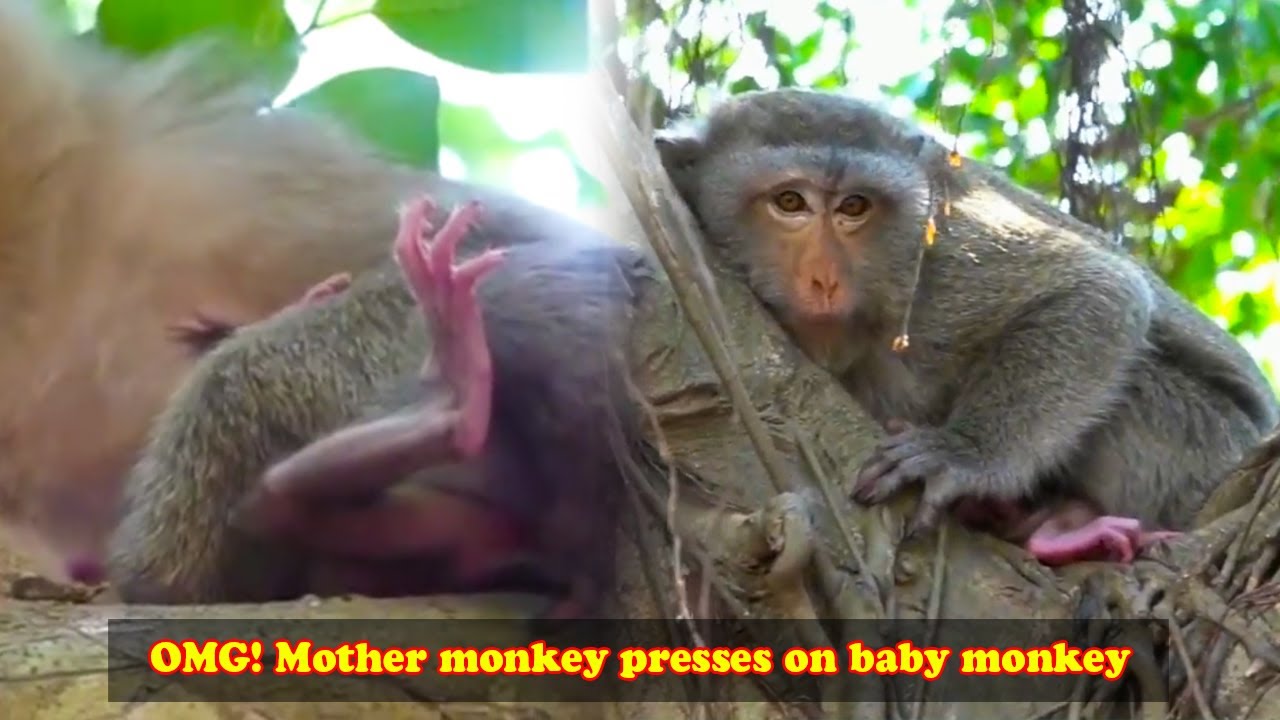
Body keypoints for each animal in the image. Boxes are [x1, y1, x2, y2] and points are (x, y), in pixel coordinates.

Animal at [654, 88, 1279, 567]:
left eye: (854, 207)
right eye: (790, 201)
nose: (824, 279)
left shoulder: (944, 264)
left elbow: (1097, 292)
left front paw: (964, 454)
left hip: (1200, 448)